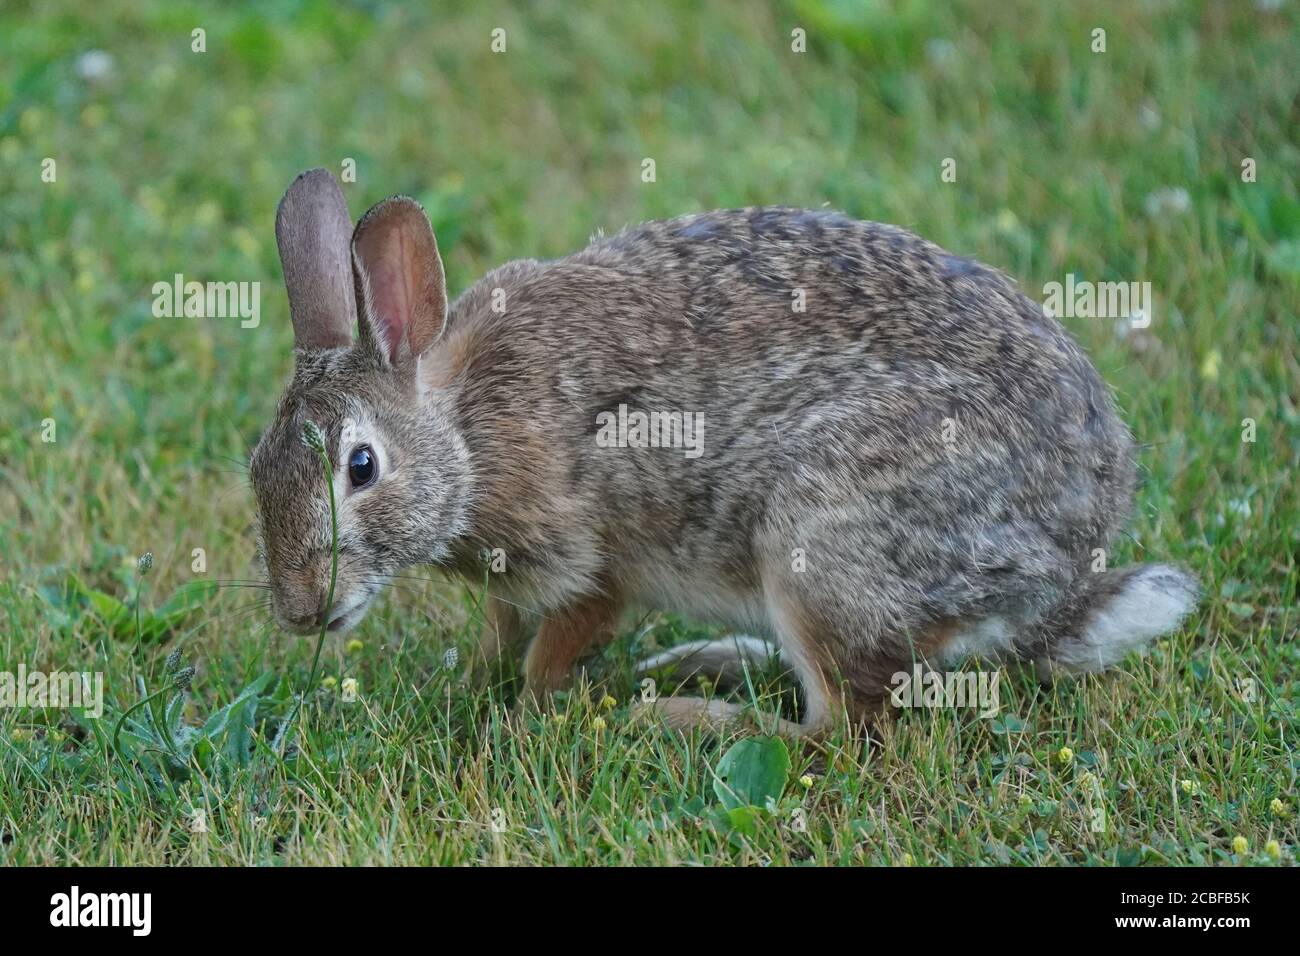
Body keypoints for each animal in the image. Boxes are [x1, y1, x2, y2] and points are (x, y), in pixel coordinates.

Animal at [250, 167, 1199, 736]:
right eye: (258, 466)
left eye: (361, 467)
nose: (298, 610)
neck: (464, 433)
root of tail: (1064, 571)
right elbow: (501, 627)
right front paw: (473, 675)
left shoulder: (594, 564)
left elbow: (557, 646)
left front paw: (524, 712)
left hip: (823, 536)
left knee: (841, 733)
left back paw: (683, 719)